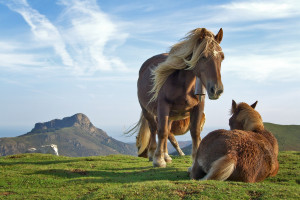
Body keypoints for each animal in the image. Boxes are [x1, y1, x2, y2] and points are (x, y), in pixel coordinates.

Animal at [127, 27, 225, 166]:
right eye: (203, 57)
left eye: (222, 57)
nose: (216, 90)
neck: (183, 85)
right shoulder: (163, 107)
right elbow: (162, 132)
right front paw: (158, 160)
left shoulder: (198, 107)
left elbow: (195, 133)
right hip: (147, 110)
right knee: (154, 129)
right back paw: (153, 154)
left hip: (171, 115)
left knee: (167, 130)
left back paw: (166, 155)